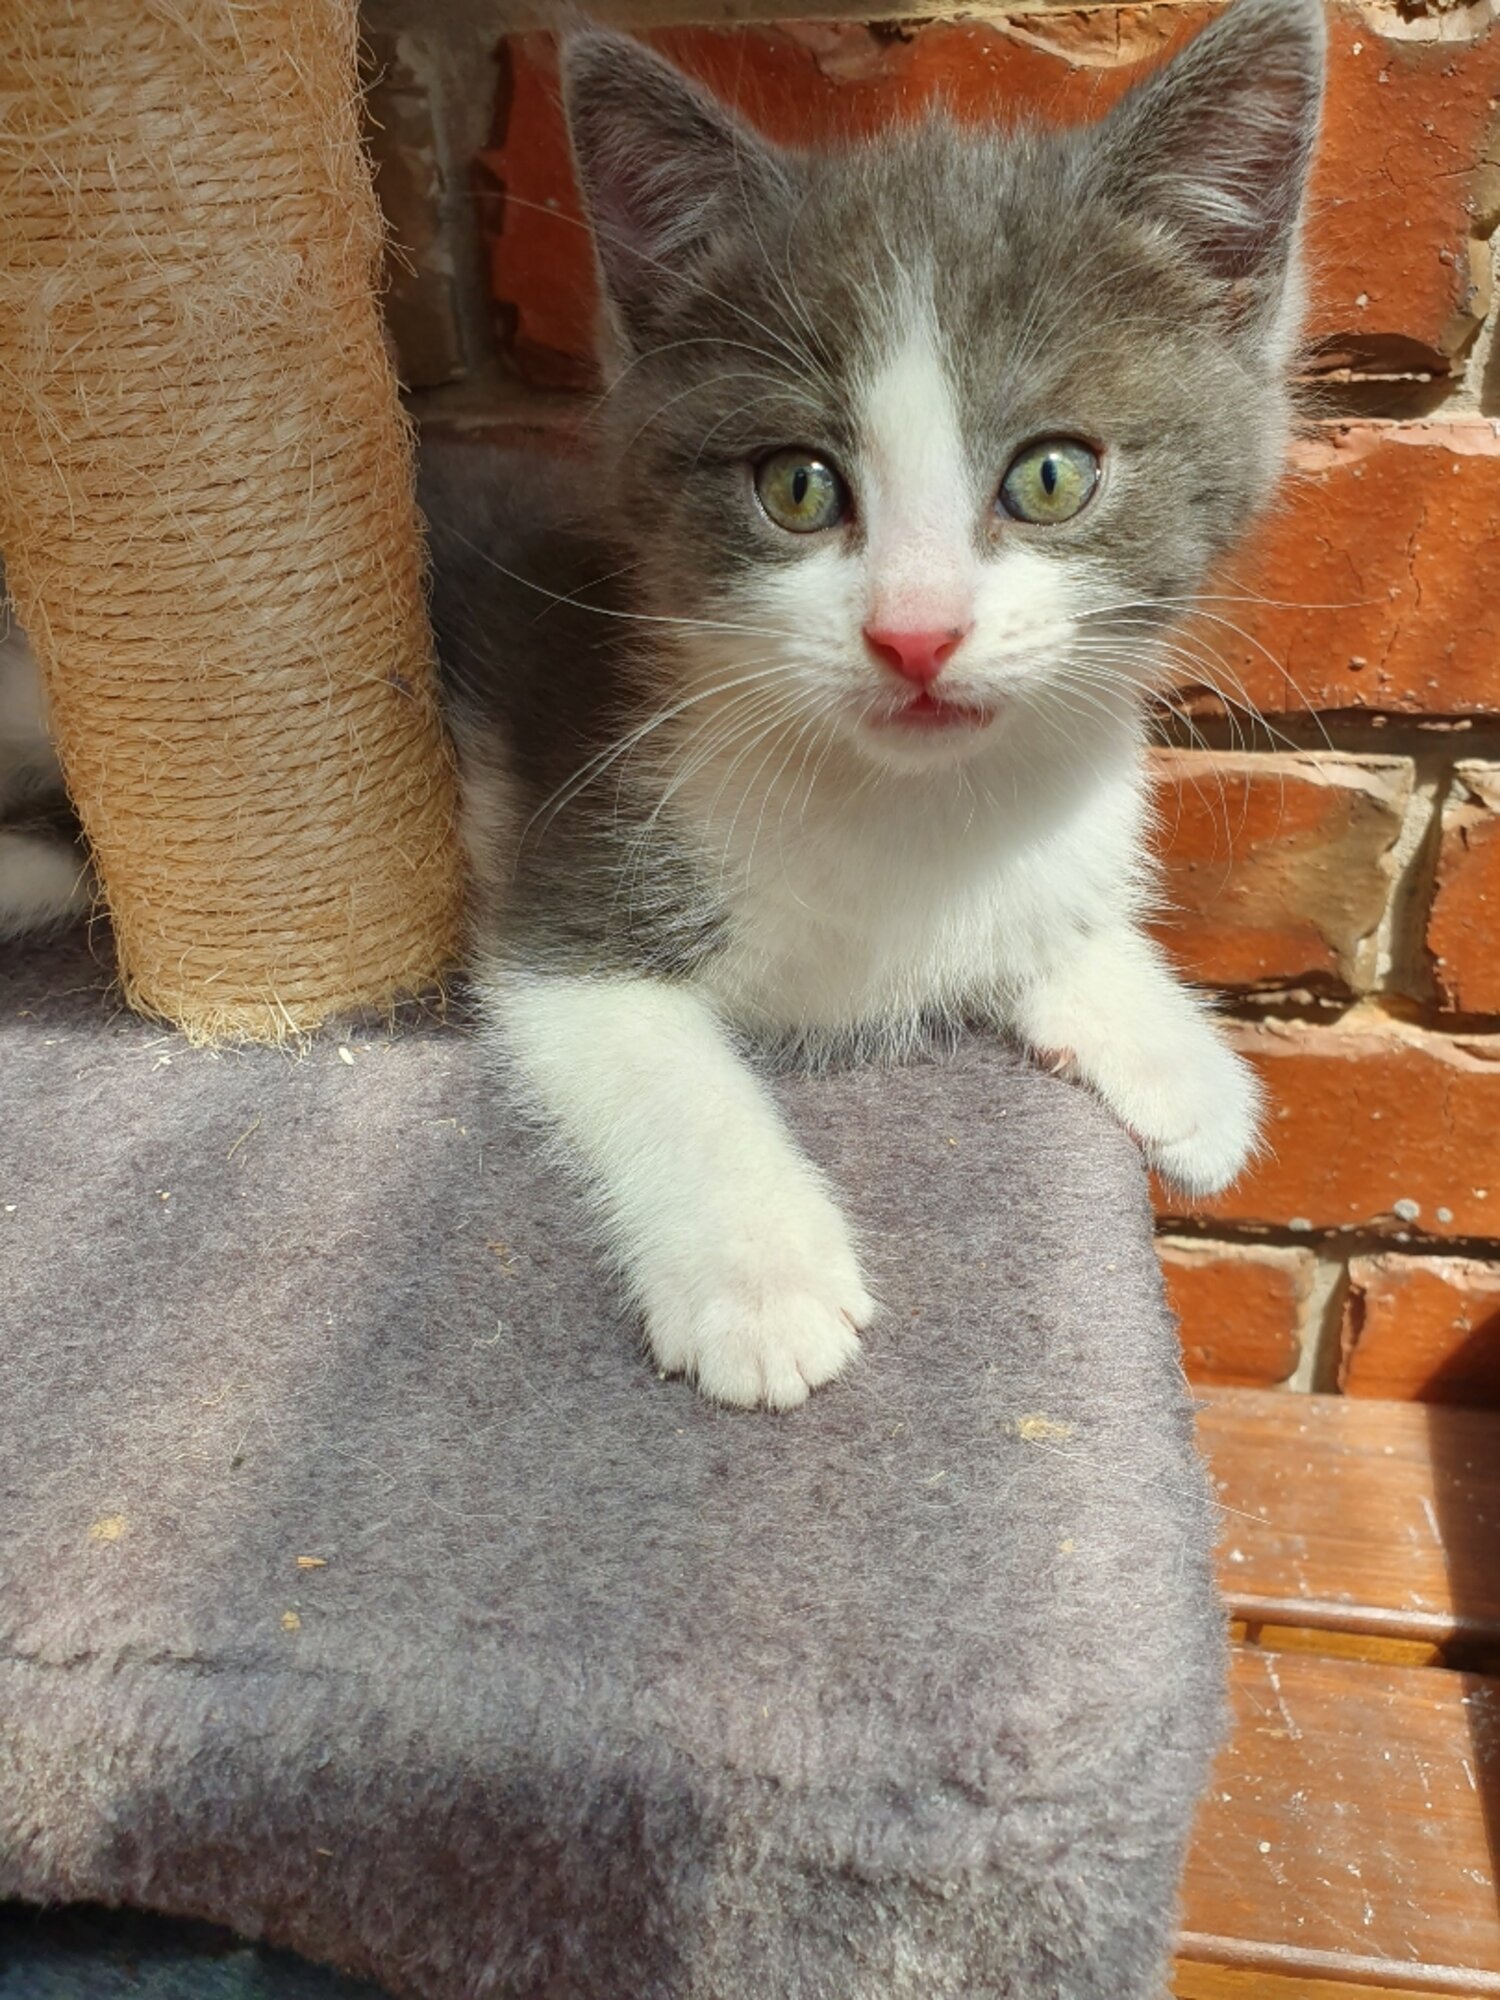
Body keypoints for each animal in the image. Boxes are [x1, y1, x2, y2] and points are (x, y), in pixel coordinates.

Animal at [426, 0, 1328, 1416]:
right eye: (797, 486)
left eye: (1053, 475)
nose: (916, 632)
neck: (910, 811)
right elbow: (648, 1053)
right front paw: (760, 1271)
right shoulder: (568, 883)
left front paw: (1171, 1050)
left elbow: (1055, 909)